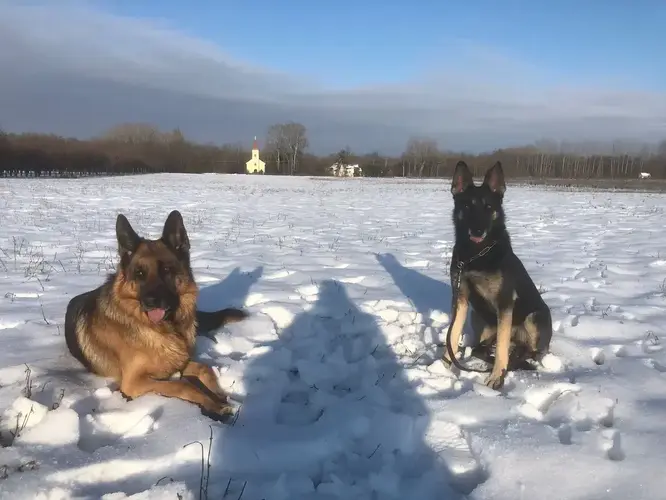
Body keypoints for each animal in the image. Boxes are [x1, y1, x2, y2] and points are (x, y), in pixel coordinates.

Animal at [64, 210, 248, 419]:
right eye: (139, 273)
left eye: (167, 270)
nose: (150, 302)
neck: (162, 330)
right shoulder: (134, 383)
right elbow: (182, 386)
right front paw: (213, 404)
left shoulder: (177, 362)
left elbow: (205, 368)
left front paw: (219, 396)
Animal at [442, 160, 553, 389]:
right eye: (467, 206)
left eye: (488, 208)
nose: (478, 231)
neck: (476, 255)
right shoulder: (461, 298)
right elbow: (453, 332)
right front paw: (444, 364)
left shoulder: (505, 303)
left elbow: (501, 345)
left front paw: (497, 376)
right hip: (480, 317)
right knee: (486, 345)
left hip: (534, 316)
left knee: (530, 351)